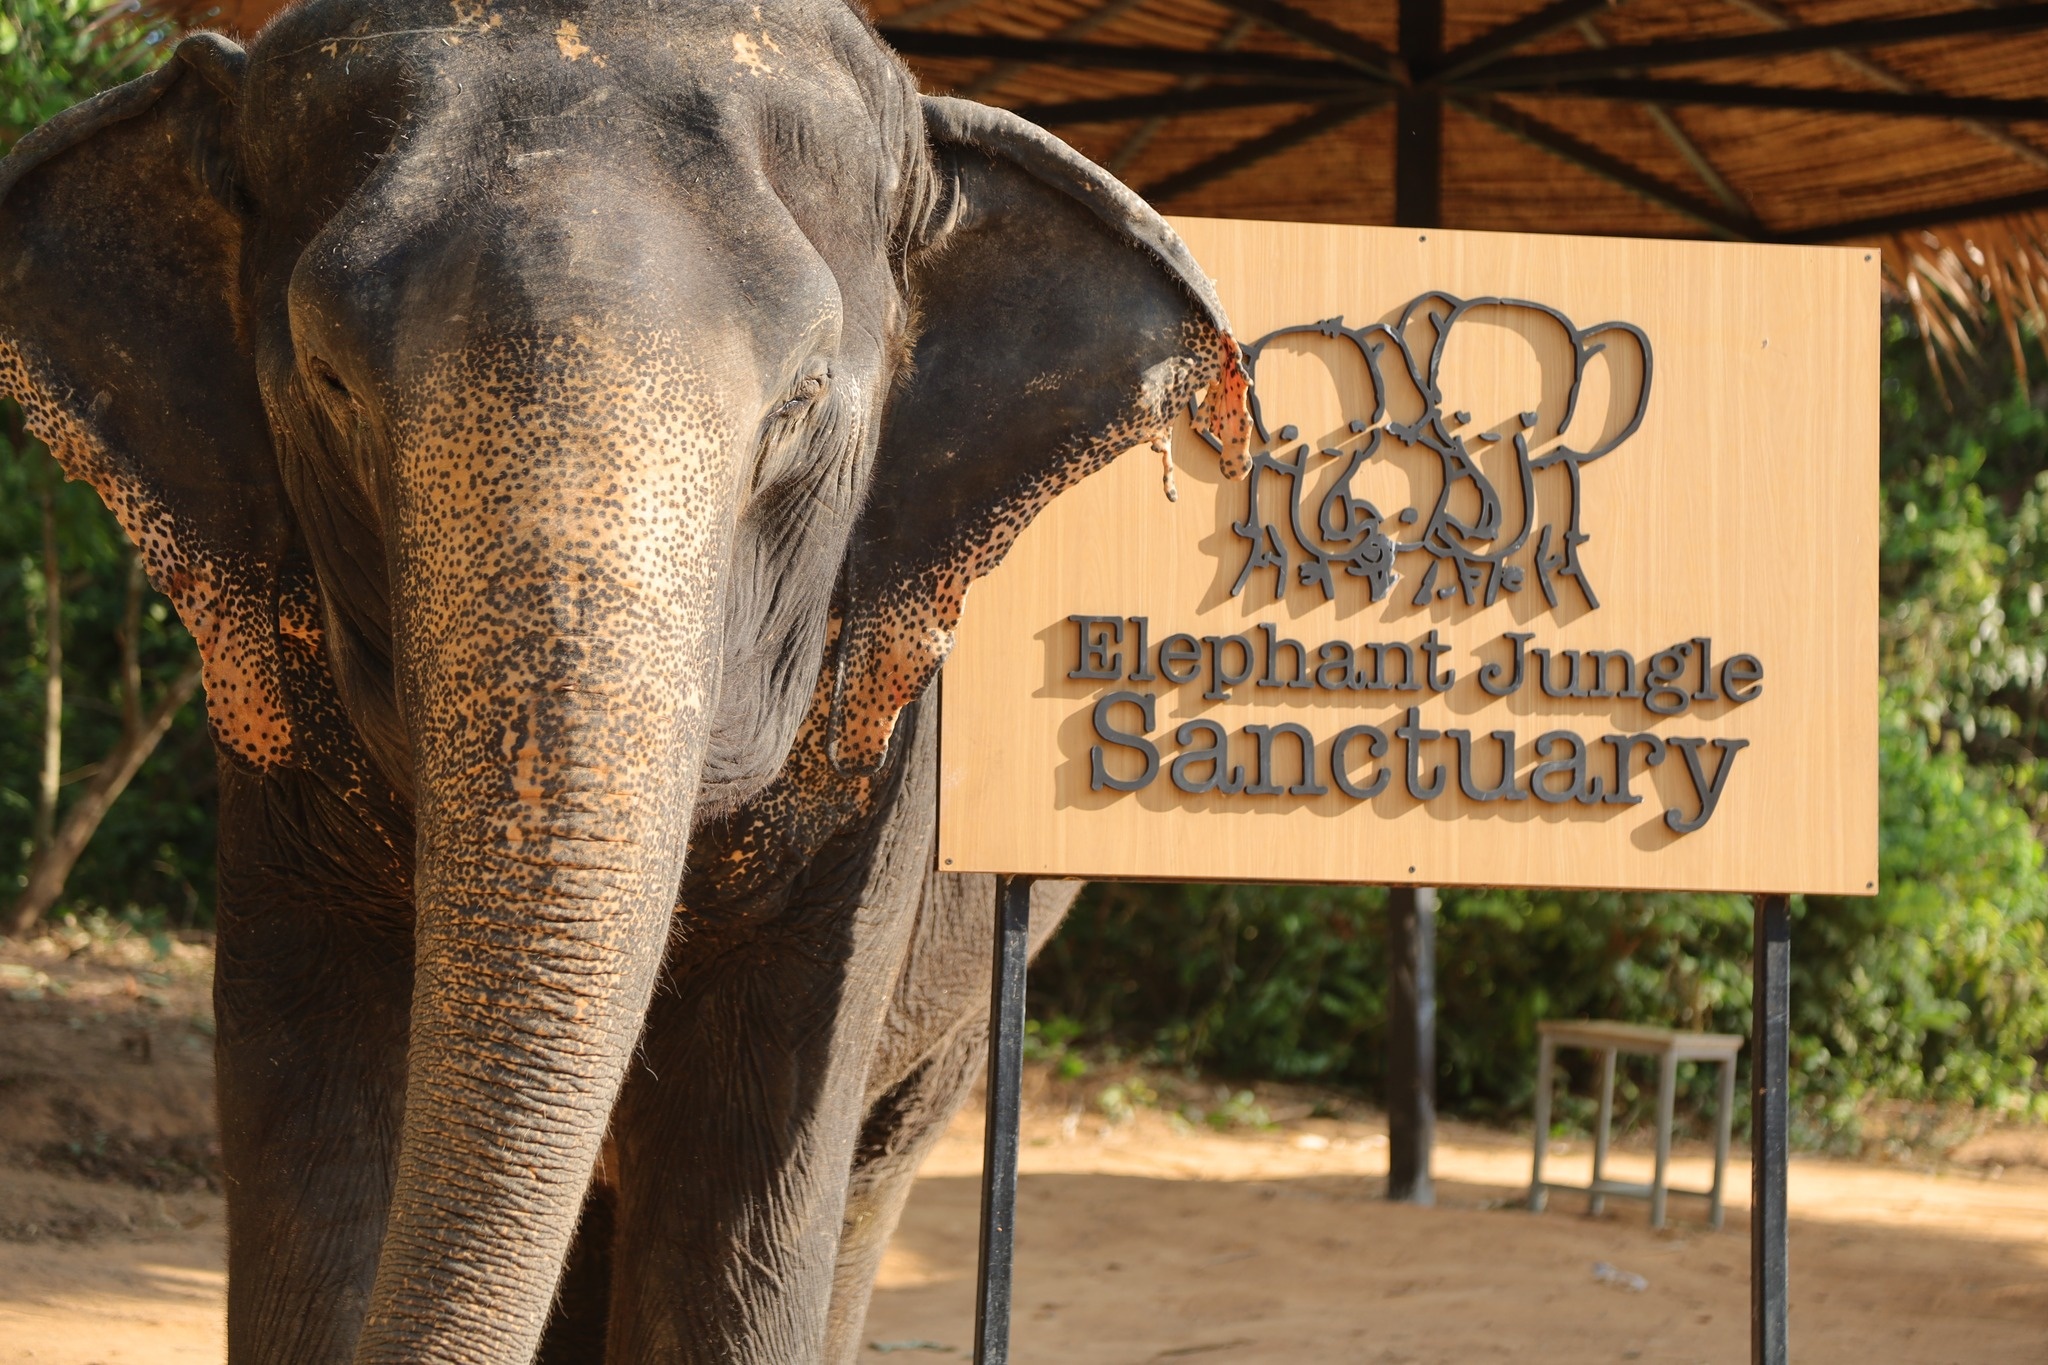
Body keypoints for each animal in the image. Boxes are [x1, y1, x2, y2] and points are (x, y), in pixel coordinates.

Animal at [0, 1, 1250, 1361]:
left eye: (798, 406)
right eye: (330, 386)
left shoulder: (879, 780)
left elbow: (740, 1225)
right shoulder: (271, 754)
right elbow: (311, 1169)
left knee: (864, 1180)